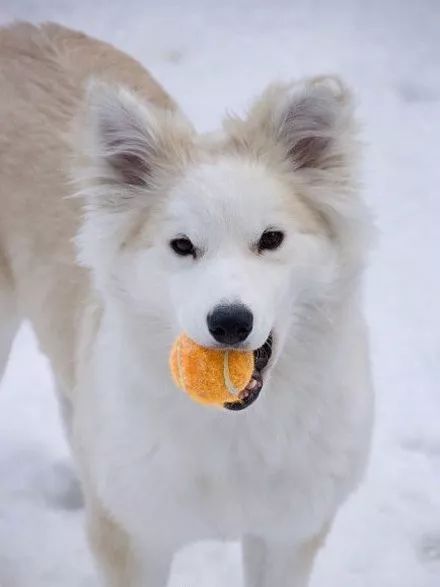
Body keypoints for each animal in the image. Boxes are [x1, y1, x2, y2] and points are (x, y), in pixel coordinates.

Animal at [0, 23, 372, 587]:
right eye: (182, 246)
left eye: (271, 239)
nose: (230, 322)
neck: (234, 432)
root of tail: (20, 30)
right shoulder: (133, 540)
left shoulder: (287, 535)